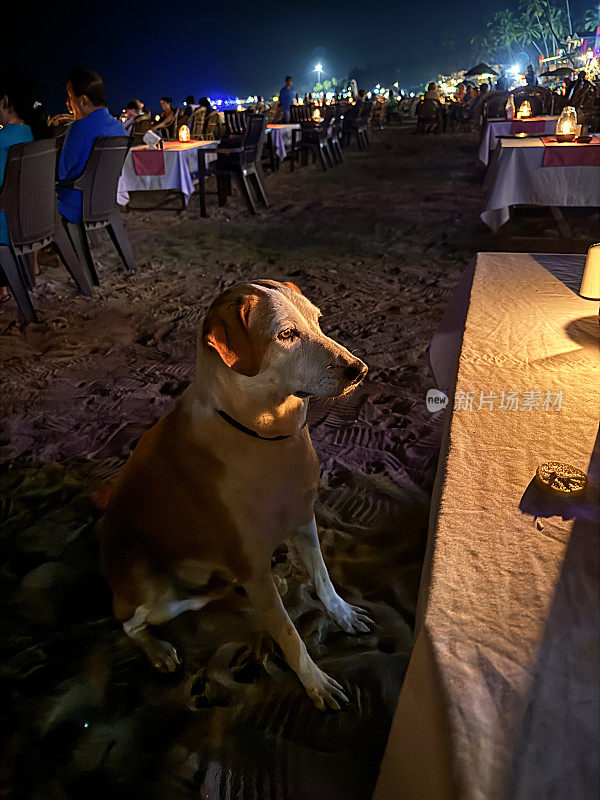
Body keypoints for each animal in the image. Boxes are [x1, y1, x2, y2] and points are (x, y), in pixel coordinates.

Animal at [99, 278, 370, 708]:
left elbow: (324, 578)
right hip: (150, 588)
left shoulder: (304, 522)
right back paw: (158, 650)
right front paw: (314, 681)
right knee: (129, 623)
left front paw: (341, 613)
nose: (360, 370)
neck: (267, 434)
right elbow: (289, 635)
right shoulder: (253, 570)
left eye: (317, 321)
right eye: (286, 335)